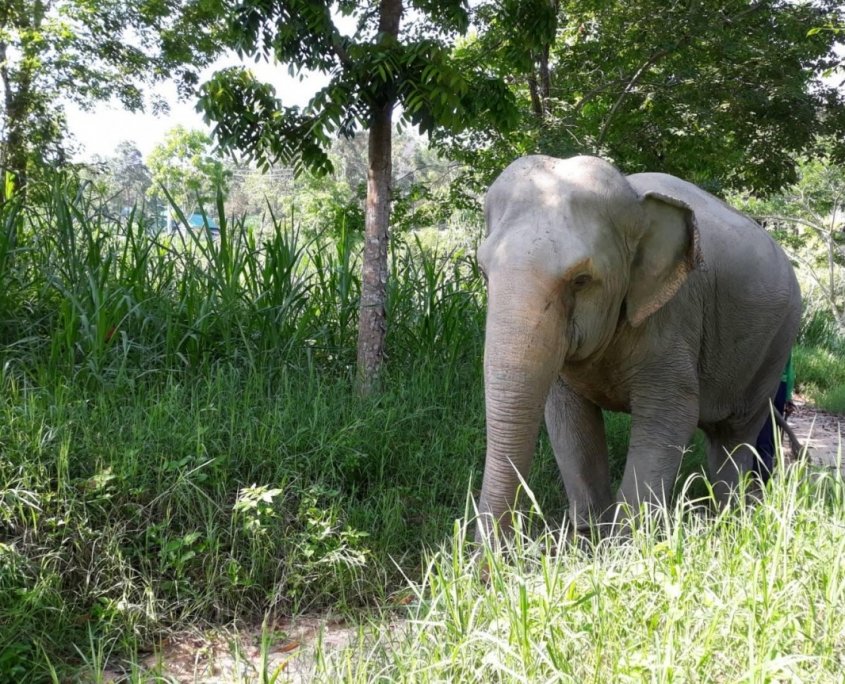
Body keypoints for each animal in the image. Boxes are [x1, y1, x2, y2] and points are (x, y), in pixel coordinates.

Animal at [475, 154, 801, 541]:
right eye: (483, 272)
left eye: (581, 280)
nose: (492, 557)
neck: (635, 199)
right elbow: (568, 418)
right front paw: (589, 538)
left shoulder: (675, 315)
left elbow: (671, 414)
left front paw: (625, 543)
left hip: (777, 344)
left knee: (737, 433)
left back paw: (730, 520)